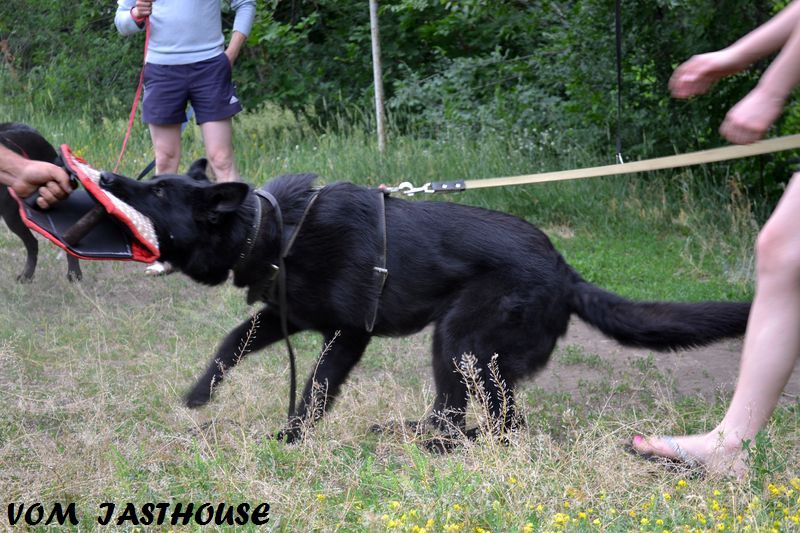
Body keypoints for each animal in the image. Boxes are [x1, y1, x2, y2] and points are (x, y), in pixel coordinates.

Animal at [98, 162, 752, 444]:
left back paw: (432, 443)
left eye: (159, 191)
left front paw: (293, 436)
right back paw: (413, 434)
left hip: (458, 343)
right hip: (462, 354)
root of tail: (566, 273)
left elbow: (315, 386)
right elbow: (231, 342)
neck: (275, 228)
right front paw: (199, 394)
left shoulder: (347, 333)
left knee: (496, 423)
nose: (103, 176)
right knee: (474, 417)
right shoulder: (287, 315)